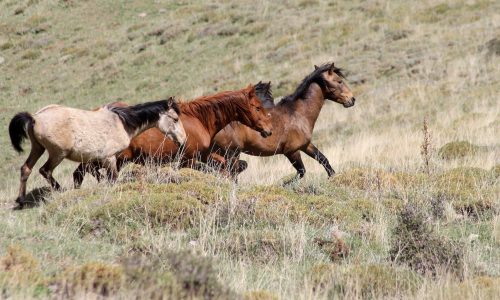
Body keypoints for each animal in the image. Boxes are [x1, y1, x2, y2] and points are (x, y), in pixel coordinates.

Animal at [8, 98, 186, 206]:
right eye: (175, 119)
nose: (183, 140)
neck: (121, 122)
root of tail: (35, 118)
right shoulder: (110, 158)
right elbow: (112, 179)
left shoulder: (97, 161)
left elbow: (98, 176)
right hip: (58, 153)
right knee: (45, 170)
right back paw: (60, 190)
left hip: (38, 148)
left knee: (26, 169)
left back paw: (21, 200)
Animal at [211, 62, 356, 179]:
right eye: (339, 81)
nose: (352, 99)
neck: (298, 114)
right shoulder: (291, 151)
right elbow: (301, 172)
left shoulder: (305, 145)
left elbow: (323, 160)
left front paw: (332, 176)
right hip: (231, 153)